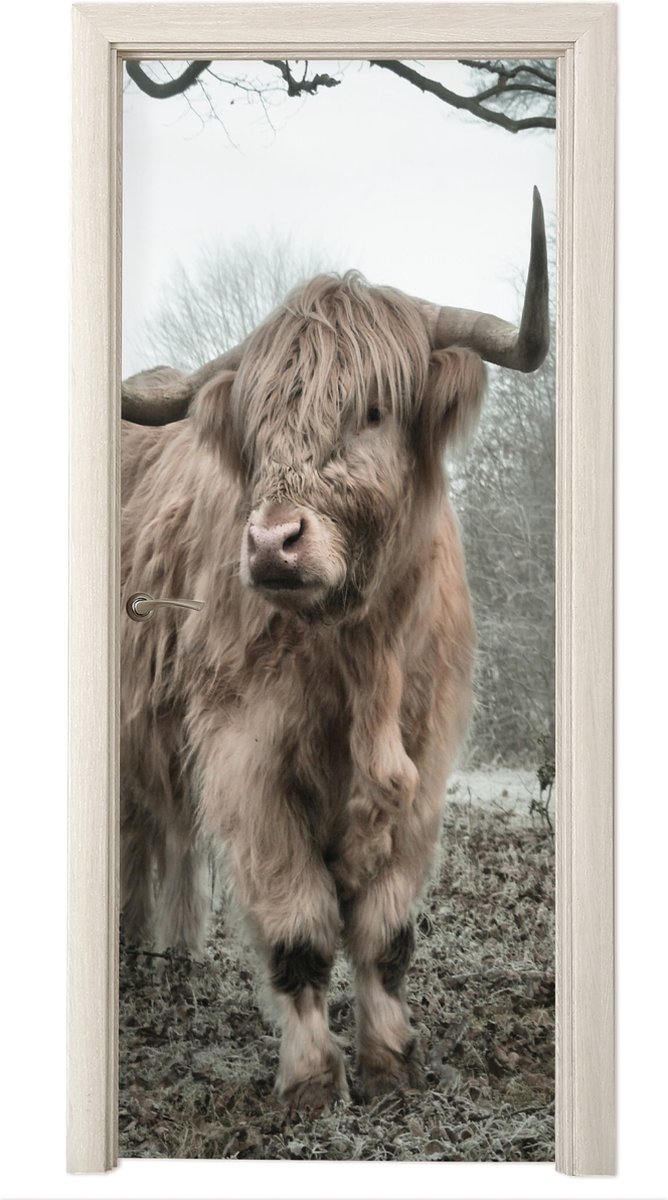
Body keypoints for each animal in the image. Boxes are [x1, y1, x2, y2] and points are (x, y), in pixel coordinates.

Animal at [120, 189, 549, 1113]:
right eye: (258, 425)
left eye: (375, 411)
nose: (272, 544)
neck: (362, 658)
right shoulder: (247, 764)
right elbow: (301, 930)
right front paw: (314, 1081)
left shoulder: (425, 767)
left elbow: (385, 933)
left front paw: (391, 1064)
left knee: (164, 837)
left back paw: (170, 957)